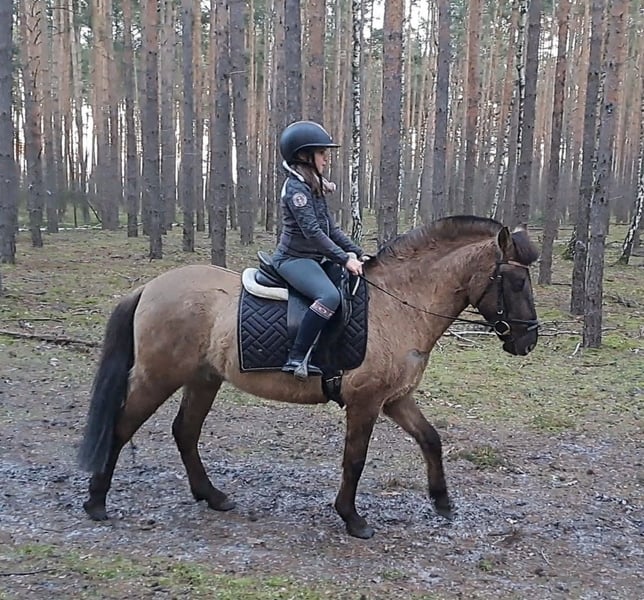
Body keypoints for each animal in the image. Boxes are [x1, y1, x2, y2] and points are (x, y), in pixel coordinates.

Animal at [78, 215, 539, 539]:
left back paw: (213, 496)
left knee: (185, 432)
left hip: (204, 379)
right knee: (121, 426)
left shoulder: (395, 398)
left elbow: (431, 440)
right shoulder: (366, 402)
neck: (399, 305)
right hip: (158, 377)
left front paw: (442, 502)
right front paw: (353, 519)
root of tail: (150, 288)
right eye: (516, 280)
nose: (528, 341)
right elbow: (355, 459)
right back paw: (97, 502)